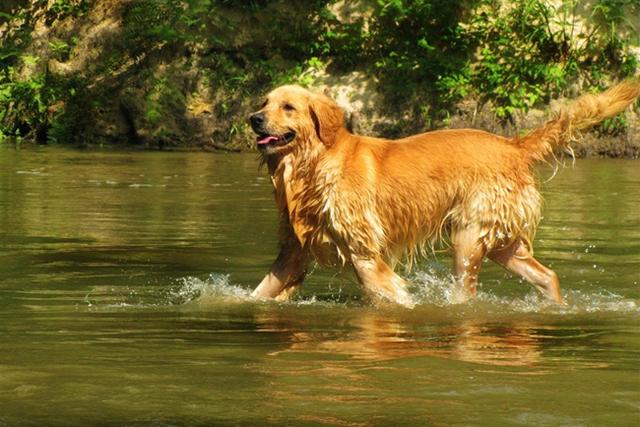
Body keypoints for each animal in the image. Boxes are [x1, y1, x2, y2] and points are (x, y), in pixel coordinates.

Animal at [249, 81, 640, 308]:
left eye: (288, 107)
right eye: (264, 102)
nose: (253, 118)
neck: (312, 166)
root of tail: (513, 146)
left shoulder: (364, 255)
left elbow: (391, 296)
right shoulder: (293, 251)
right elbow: (258, 292)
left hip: (468, 236)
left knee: (467, 294)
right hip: (502, 243)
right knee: (548, 276)